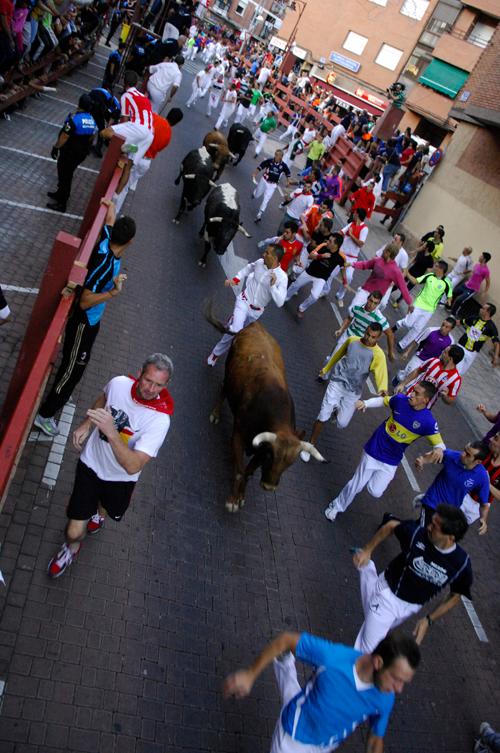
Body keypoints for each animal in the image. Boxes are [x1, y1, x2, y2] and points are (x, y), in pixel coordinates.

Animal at [205, 318, 326, 512]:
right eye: (272, 456)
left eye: (291, 463)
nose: (269, 487)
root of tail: (255, 325)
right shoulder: (239, 436)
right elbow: (239, 472)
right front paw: (232, 500)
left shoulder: (260, 450)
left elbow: (248, 472)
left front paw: (241, 496)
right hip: (228, 371)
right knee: (223, 388)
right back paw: (215, 414)